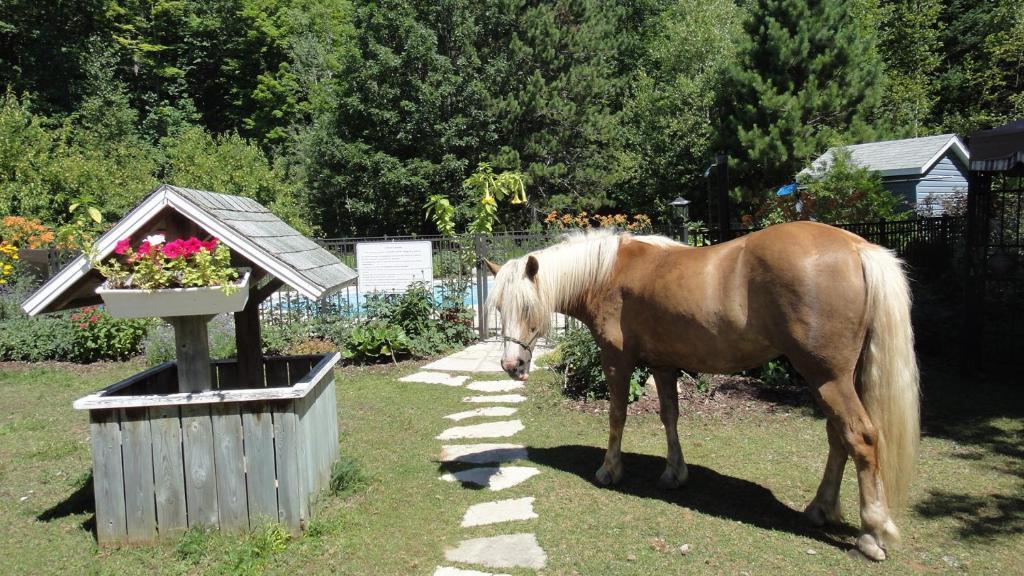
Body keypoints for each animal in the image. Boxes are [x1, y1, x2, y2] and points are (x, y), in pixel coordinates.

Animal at [483, 222, 925, 557]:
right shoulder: (662, 364)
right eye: (500, 307)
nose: (511, 365)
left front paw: (609, 470)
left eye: (528, 307)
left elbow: (617, 415)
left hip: (827, 377)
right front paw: (674, 473)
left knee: (860, 437)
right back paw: (820, 508)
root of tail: (856, 246)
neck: (607, 273)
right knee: (838, 438)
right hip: (832, 379)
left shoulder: (617, 361)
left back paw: (871, 534)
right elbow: (669, 415)